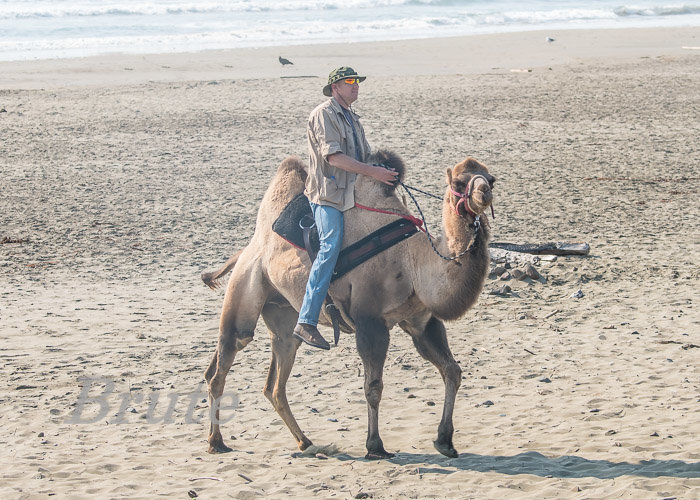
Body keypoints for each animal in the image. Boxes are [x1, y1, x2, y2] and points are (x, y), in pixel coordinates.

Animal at [202, 151, 495, 459]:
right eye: (460, 182)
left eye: (491, 179)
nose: (483, 193)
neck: (413, 260)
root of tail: (245, 250)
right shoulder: (369, 320)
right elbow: (373, 386)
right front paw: (375, 446)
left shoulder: (421, 322)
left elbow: (452, 371)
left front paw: (445, 440)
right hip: (245, 285)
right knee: (226, 358)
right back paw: (216, 441)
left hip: (283, 312)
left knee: (275, 380)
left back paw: (305, 441)